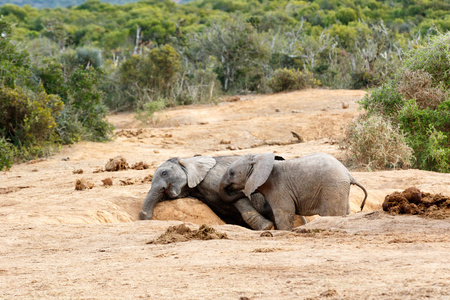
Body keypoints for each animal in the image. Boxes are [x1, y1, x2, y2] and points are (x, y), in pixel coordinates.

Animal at [219, 152, 370, 230]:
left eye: (231, 173)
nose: (240, 192)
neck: (259, 158)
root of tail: (348, 174)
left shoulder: (279, 188)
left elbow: (285, 214)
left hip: (332, 187)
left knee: (332, 214)